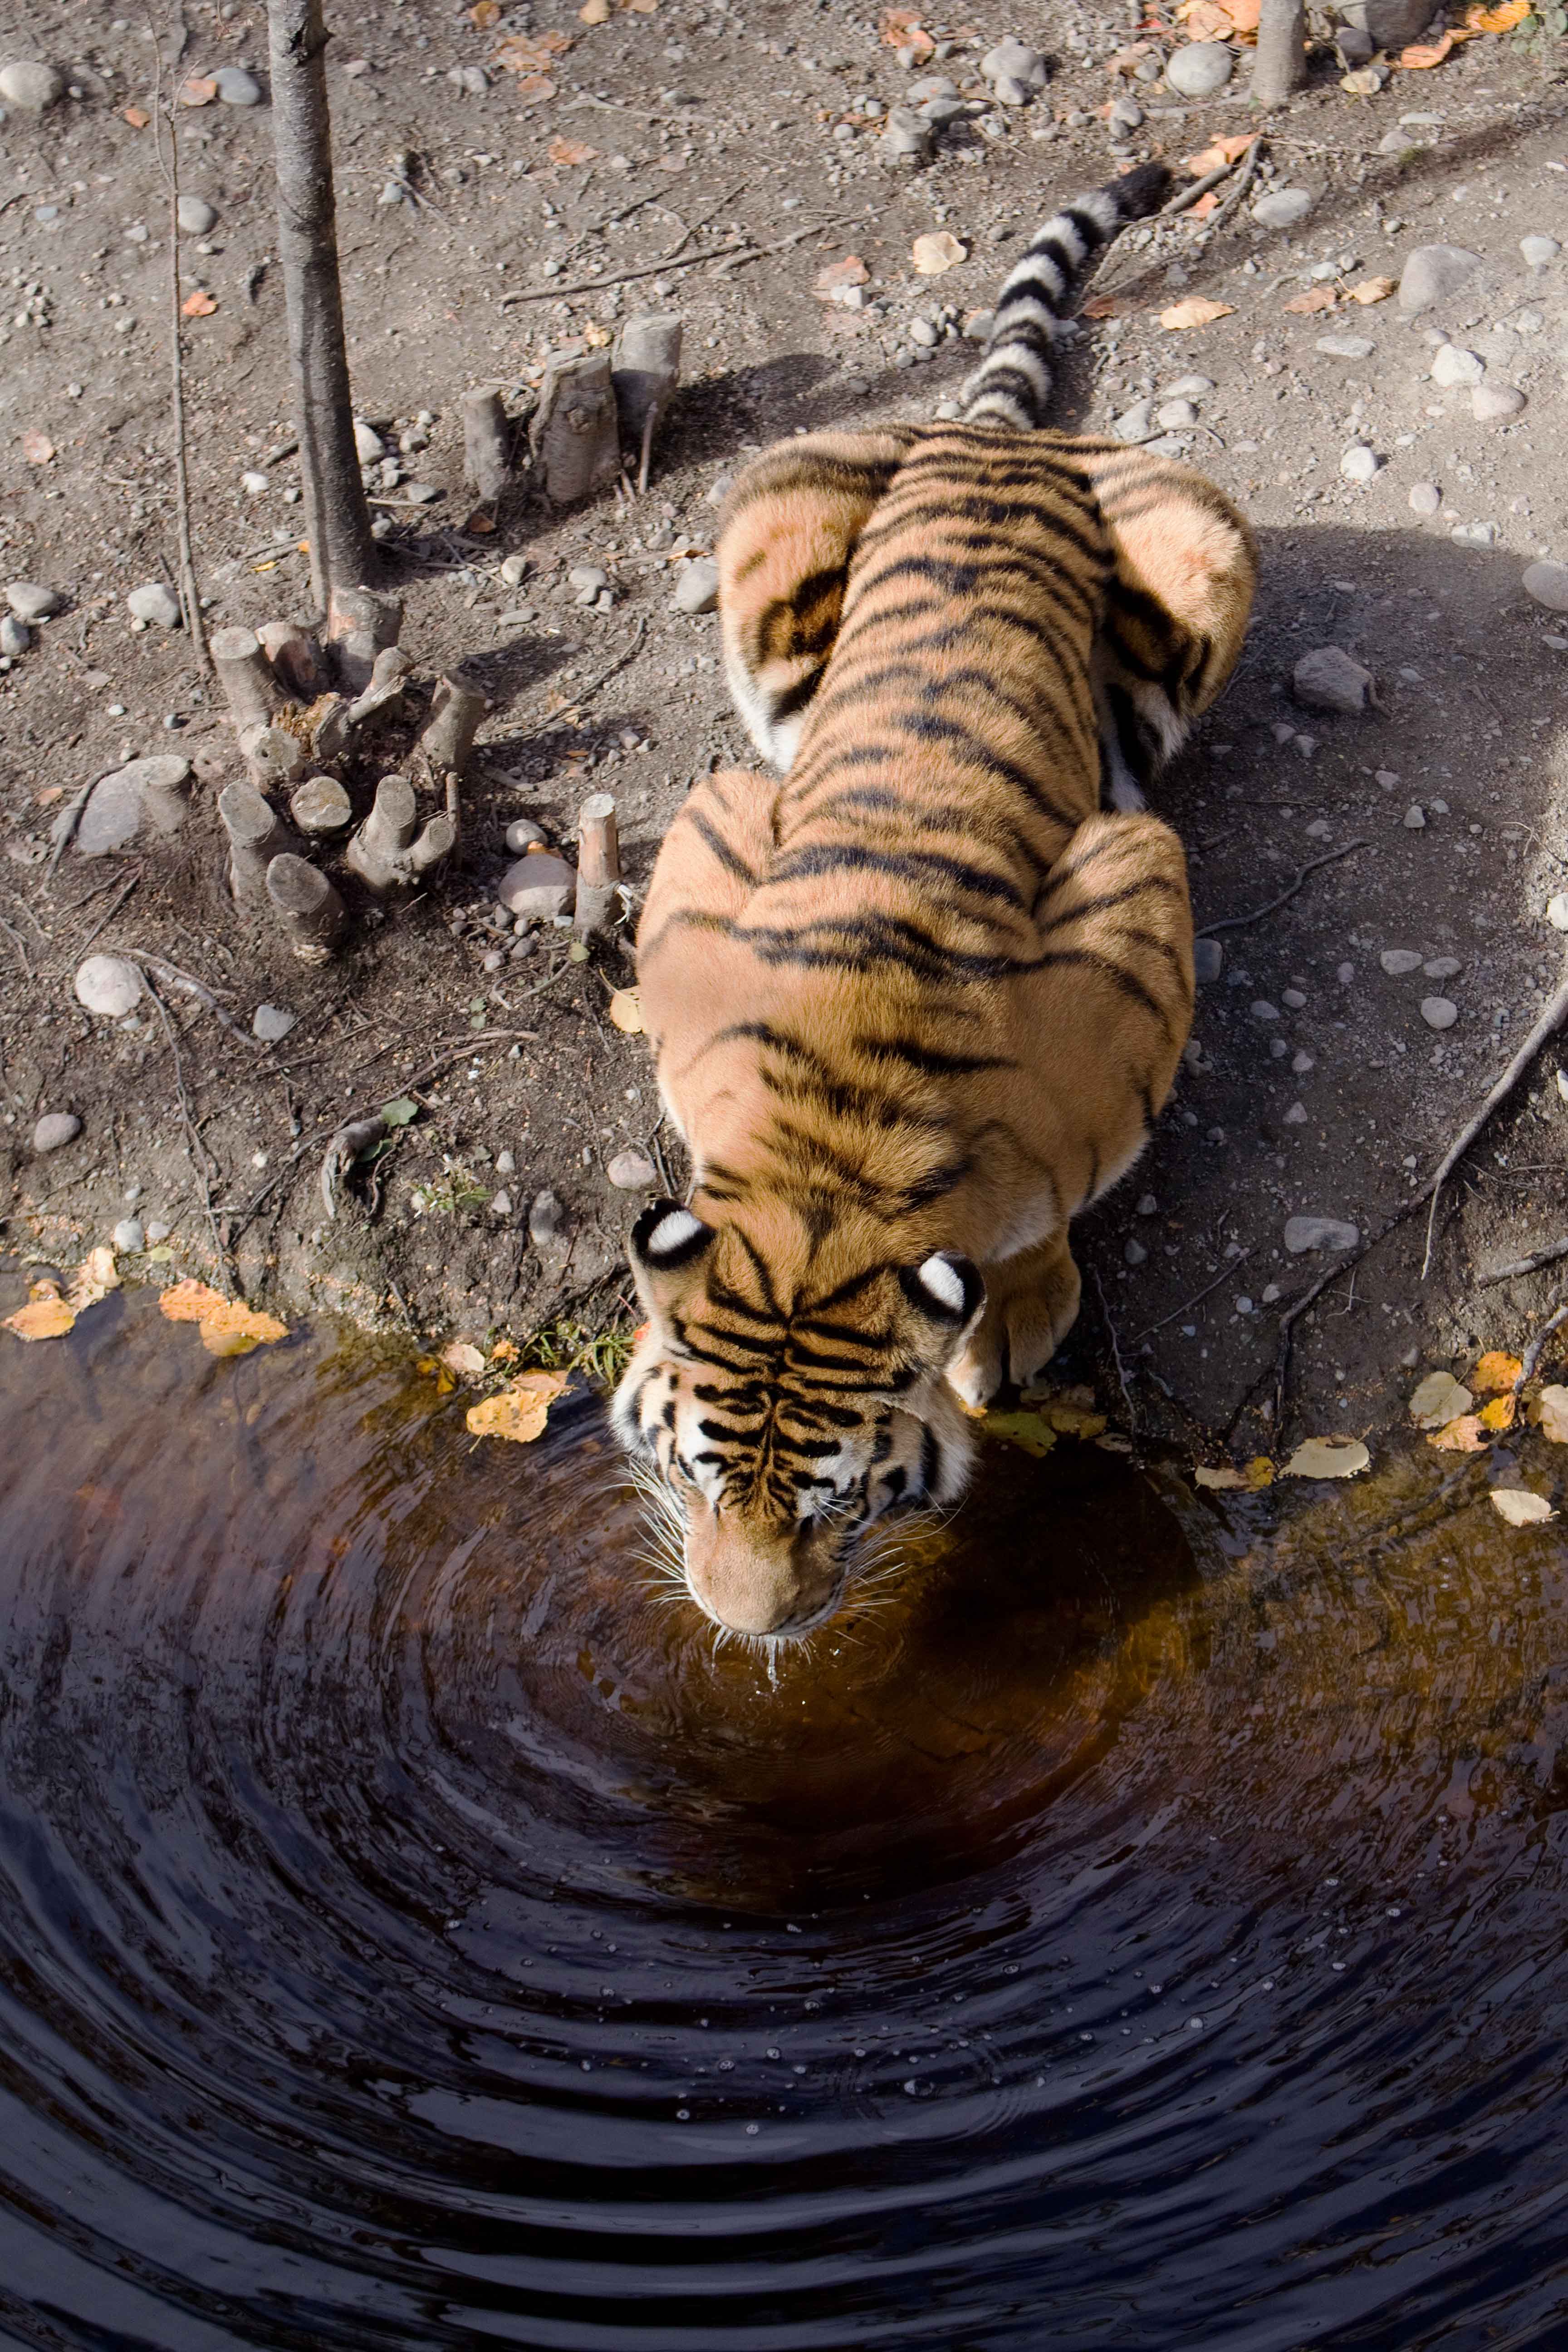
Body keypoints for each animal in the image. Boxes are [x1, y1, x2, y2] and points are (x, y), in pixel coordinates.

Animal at [606, 166, 1260, 1646]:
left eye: (831, 1503)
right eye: (702, 1473)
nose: (749, 1628)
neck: (827, 1164)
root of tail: (988, 442)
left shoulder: (1134, 909)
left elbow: (1050, 1210)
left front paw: (1012, 1317)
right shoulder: (712, 836)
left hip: (1201, 540)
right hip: (768, 508)